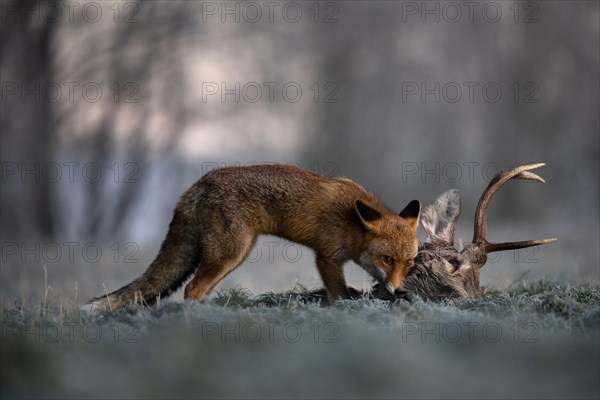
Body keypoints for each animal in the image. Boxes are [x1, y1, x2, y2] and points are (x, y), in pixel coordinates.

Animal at [89, 164, 420, 308]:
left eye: (408, 263)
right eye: (387, 258)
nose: (399, 291)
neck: (352, 221)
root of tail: (198, 184)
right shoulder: (326, 256)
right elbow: (338, 293)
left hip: (234, 255)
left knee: (197, 289)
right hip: (230, 253)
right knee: (192, 290)